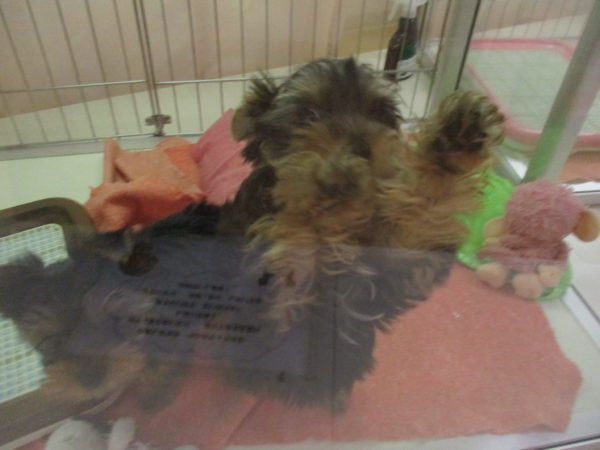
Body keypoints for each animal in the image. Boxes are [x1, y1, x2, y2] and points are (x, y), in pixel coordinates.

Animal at [0, 57, 504, 413]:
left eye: (381, 115)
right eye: (311, 114)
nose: (362, 147)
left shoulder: (397, 262)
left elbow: (427, 207)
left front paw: (458, 137)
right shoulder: (272, 287)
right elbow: (296, 236)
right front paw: (329, 182)